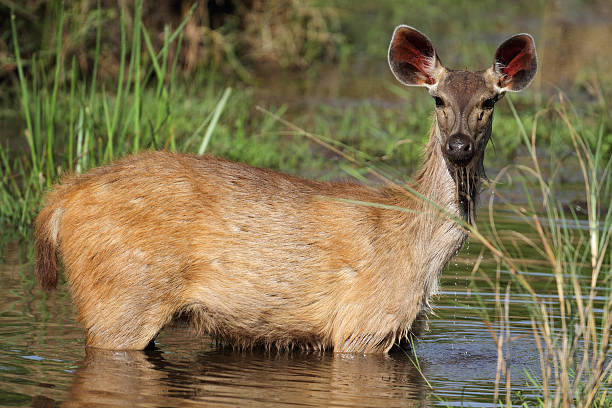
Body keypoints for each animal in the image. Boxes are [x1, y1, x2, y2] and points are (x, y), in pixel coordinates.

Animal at [35, 26, 536, 350]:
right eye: (438, 99)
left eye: (489, 101)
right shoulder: (363, 325)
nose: (459, 145)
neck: (419, 248)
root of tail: (59, 200)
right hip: (121, 298)